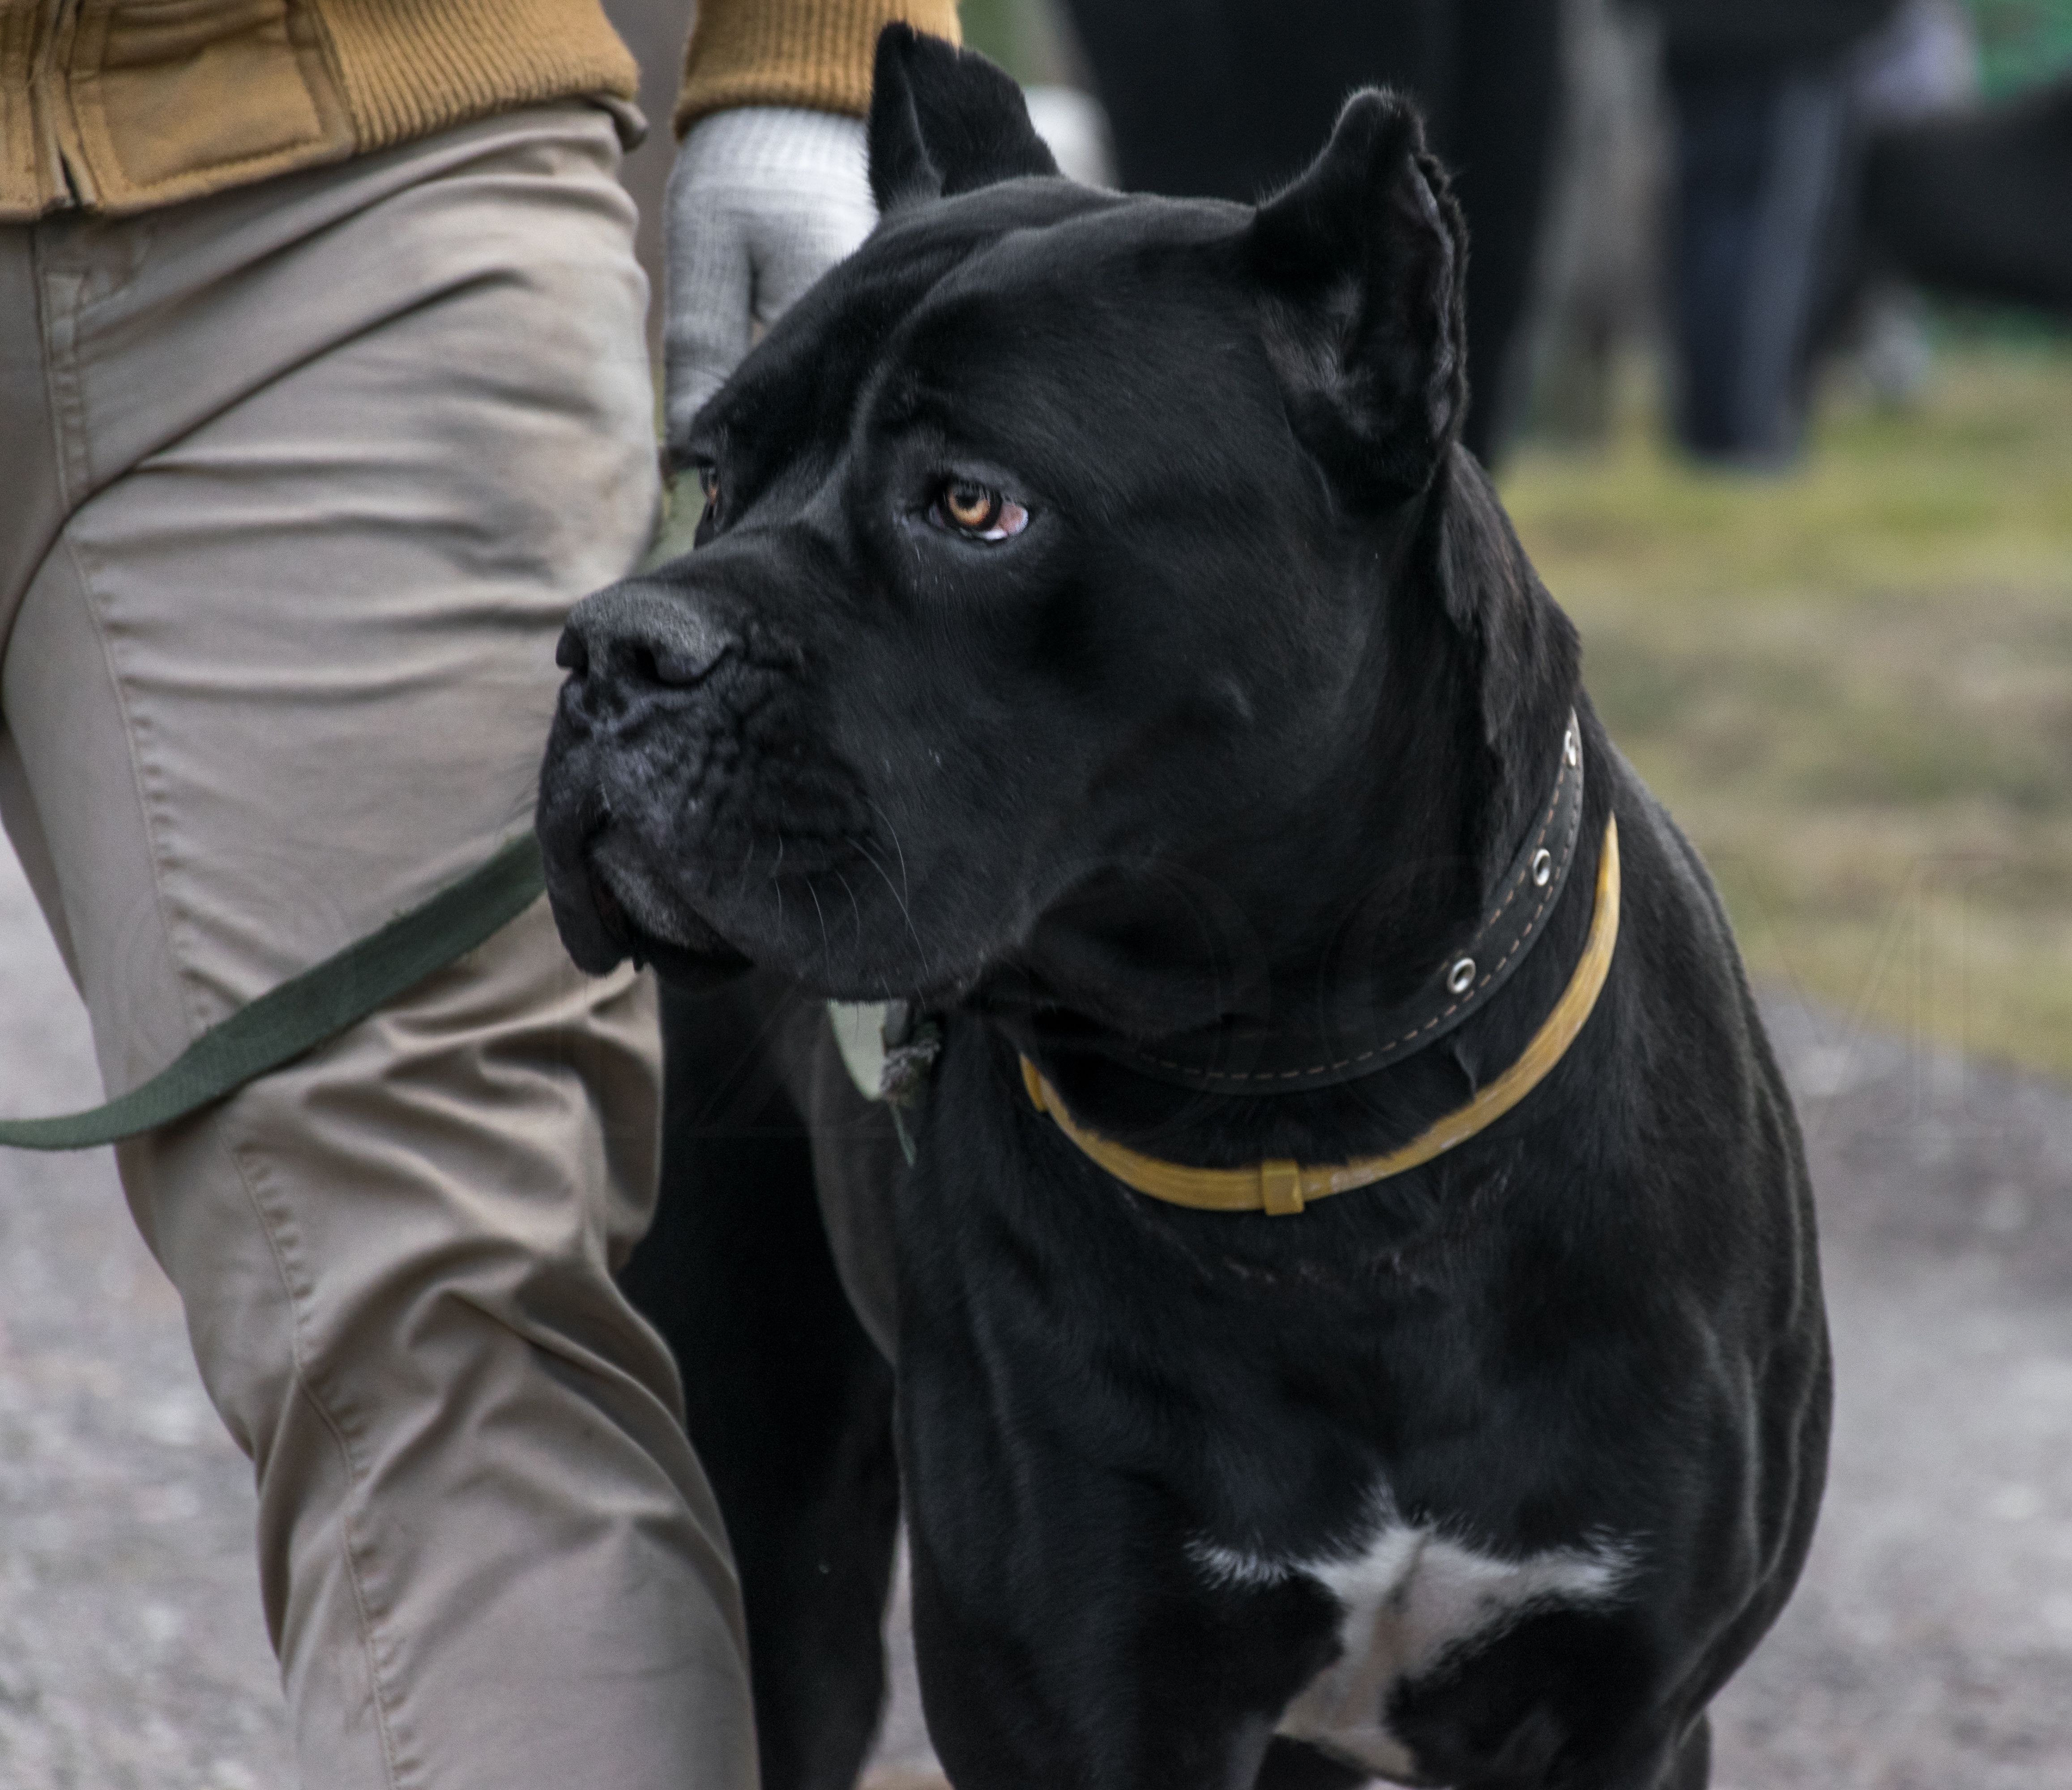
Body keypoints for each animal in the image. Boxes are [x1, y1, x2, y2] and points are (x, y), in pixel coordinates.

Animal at [538, 28, 1832, 1790]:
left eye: (972, 504)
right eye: (720, 473)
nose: (614, 647)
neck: (1316, 1116)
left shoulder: (1620, 1707)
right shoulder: (1082, 1700)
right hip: (773, 1518)